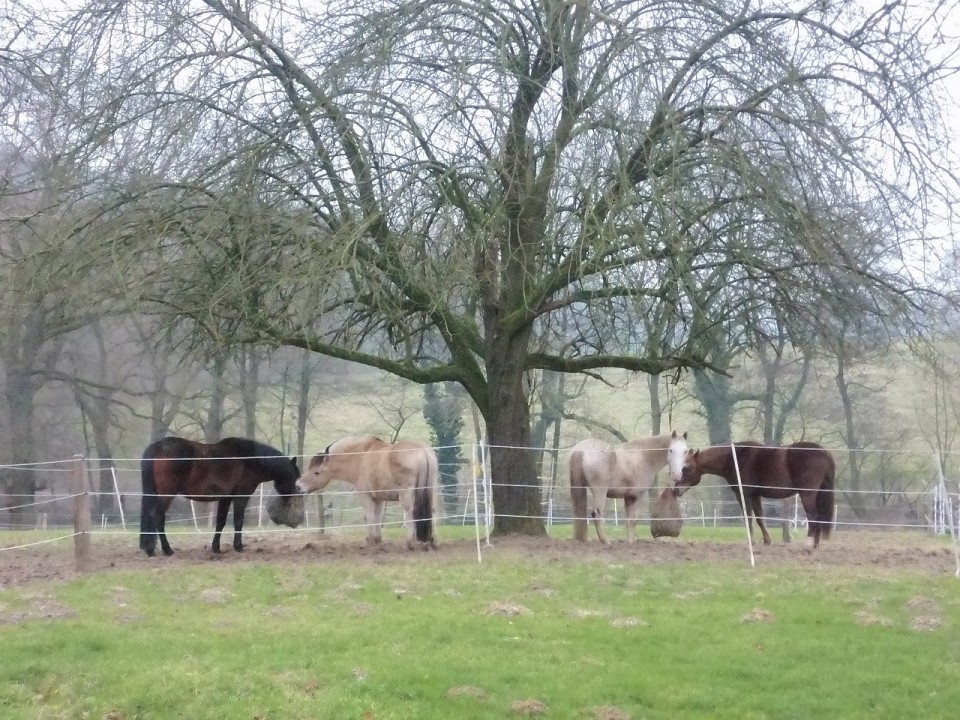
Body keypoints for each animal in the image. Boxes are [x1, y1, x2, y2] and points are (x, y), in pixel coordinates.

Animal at [139, 436, 300, 557]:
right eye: (294, 476)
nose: (292, 496)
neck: (249, 459)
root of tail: (158, 446)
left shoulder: (225, 499)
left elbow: (220, 522)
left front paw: (216, 548)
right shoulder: (241, 497)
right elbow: (238, 521)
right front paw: (238, 547)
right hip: (166, 494)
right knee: (157, 517)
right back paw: (165, 550)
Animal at [296, 436, 437, 550]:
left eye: (316, 472)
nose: (298, 486)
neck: (360, 456)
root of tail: (421, 451)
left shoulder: (365, 495)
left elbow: (369, 516)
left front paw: (370, 540)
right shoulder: (379, 498)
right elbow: (377, 517)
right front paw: (378, 540)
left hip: (406, 495)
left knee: (409, 514)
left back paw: (409, 544)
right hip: (431, 492)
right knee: (433, 512)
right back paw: (432, 542)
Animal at [673, 441, 836, 549]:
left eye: (687, 468)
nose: (675, 490)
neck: (736, 458)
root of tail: (824, 452)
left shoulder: (744, 494)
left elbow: (748, 517)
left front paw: (752, 541)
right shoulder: (756, 495)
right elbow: (760, 518)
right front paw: (767, 540)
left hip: (807, 494)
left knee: (814, 516)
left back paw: (809, 544)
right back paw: (815, 545)